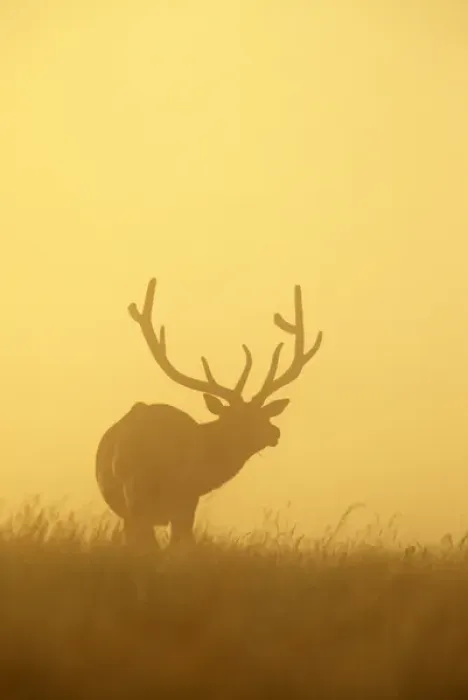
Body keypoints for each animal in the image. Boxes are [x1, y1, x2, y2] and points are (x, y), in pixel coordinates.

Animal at [95, 278, 323, 548]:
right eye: (238, 421)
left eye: (264, 414)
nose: (274, 432)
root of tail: (127, 444)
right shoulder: (189, 497)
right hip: (153, 494)